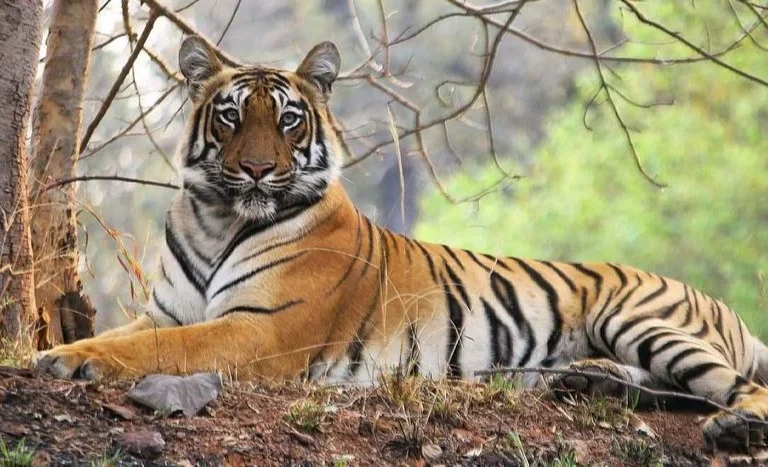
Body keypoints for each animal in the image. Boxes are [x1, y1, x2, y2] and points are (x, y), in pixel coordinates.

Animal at [34, 35, 768, 451]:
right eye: (231, 115)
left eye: (290, 119)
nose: (259, 170)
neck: (217, 219)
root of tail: (719, 303)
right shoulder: (166, 310)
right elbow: (136, 334)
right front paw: (63, 352)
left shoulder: (259, 328)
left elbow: (157, 349)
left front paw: (65, 357)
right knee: (676, 389)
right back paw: (588, 379)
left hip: (641, 318)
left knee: (734, 387)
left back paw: (735, 425)